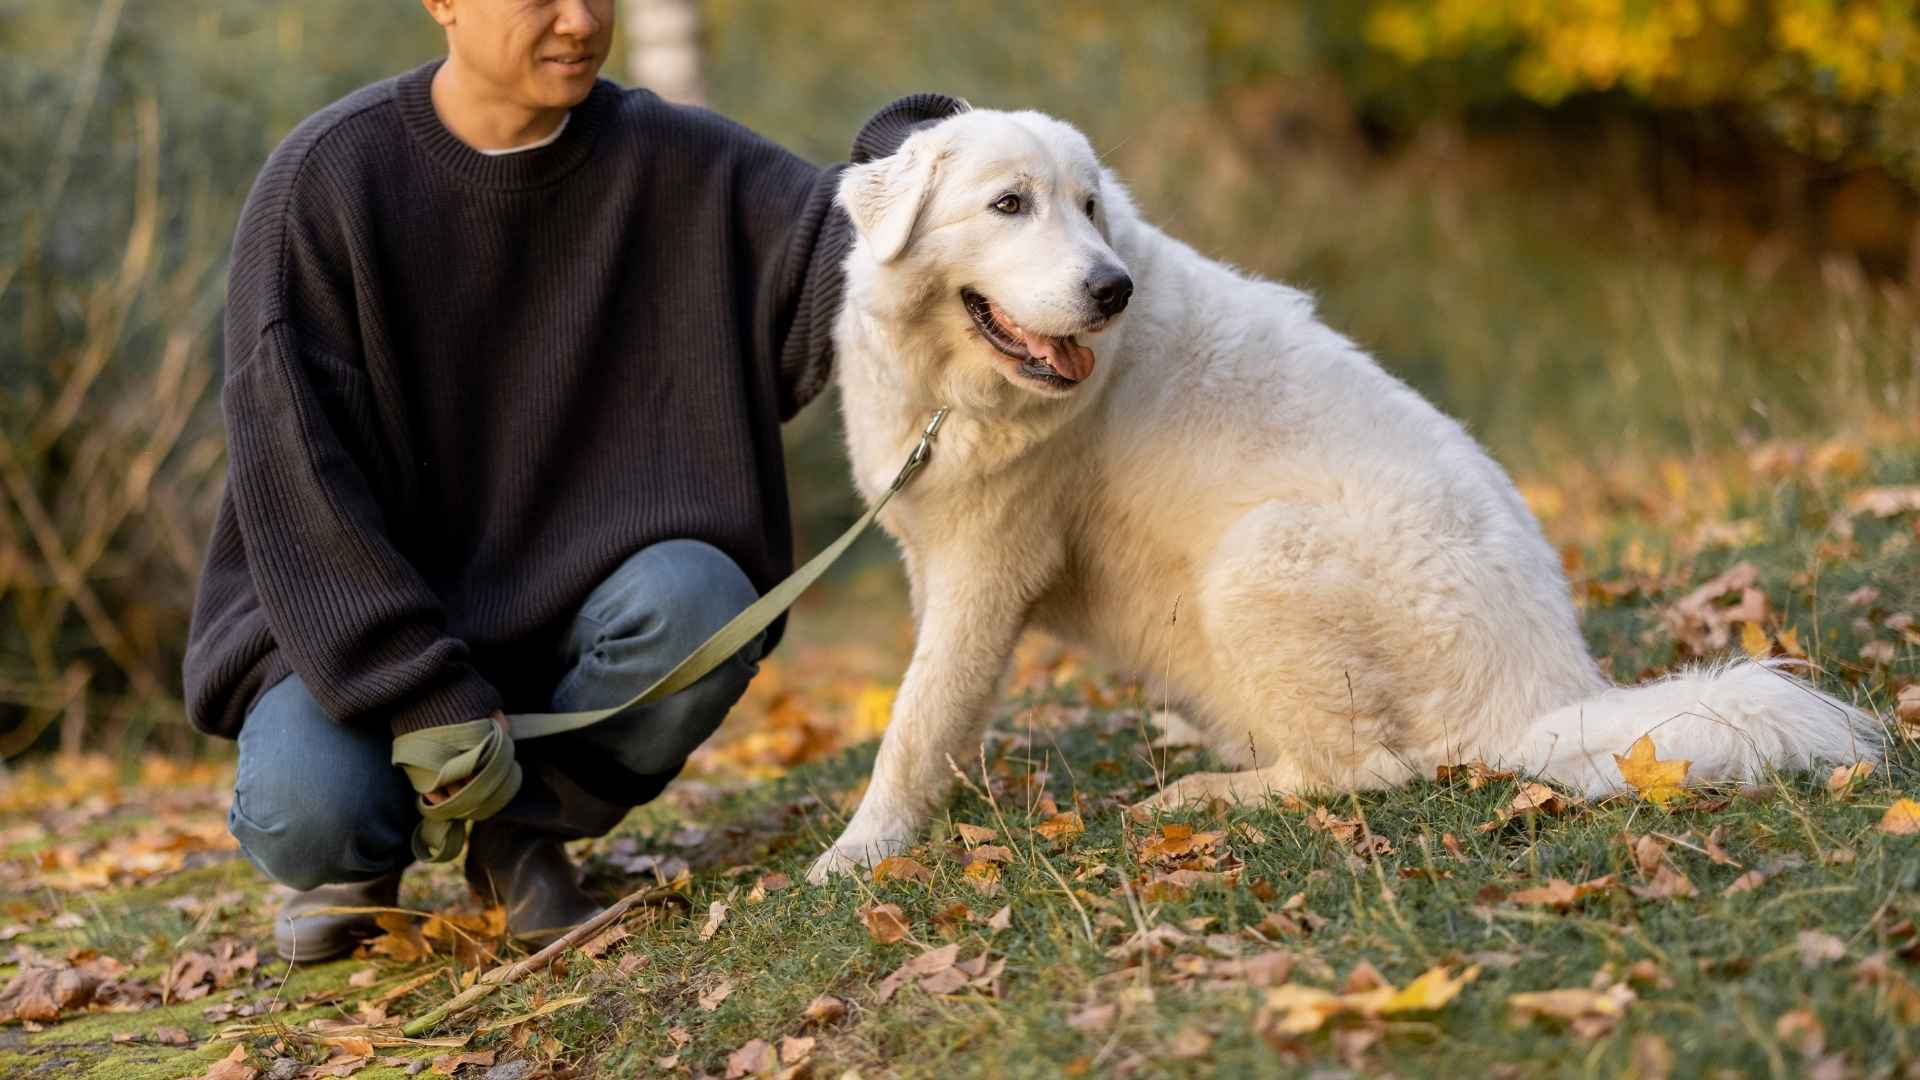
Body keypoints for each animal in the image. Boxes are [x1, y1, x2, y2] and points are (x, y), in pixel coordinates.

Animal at [802, 105, 1881, 880]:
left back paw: (1206, 793)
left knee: (1362, 771)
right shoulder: (938, 562)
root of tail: (1549, 695)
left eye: (1090, 206)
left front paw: (857, 852)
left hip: (1257, 556)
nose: (1112, 290)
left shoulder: (985, 571)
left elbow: (914, 719)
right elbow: (940, 707)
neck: (952, 388)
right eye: (1010, 205)